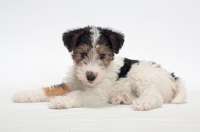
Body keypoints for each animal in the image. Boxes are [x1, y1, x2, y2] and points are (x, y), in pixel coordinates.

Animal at [12, 25, 188, 110]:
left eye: (102, 55)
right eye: (83, 54)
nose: (90, 76)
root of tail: (174, 78)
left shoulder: (95, 94)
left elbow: (77, 95)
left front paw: (60, 101)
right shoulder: (69, 84)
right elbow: (49, 89)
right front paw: (23, 95)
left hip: (141, 75)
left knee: (155, 96)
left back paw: (142, 104)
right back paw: (121, 98)